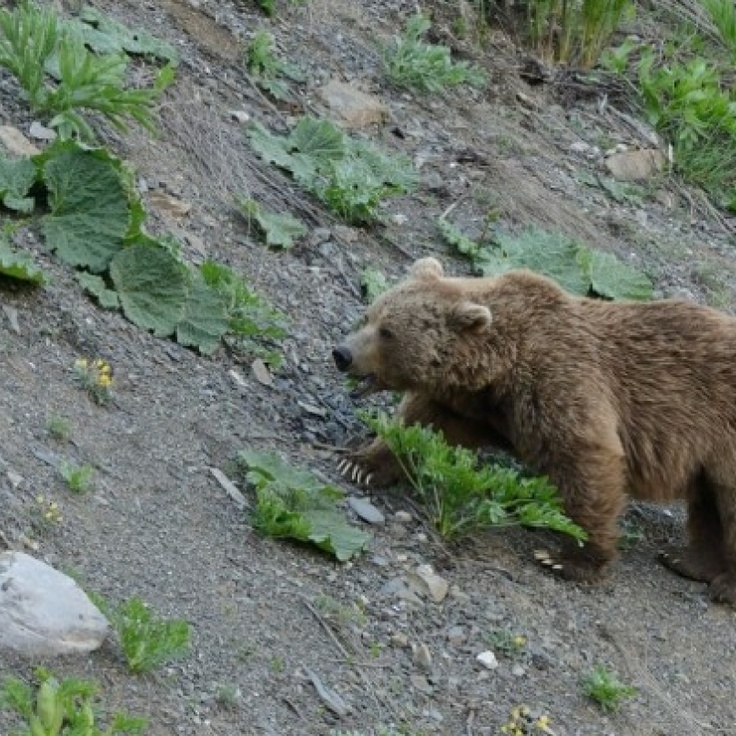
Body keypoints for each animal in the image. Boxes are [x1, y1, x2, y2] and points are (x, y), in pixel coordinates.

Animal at [334, 258, 736, 604]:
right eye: (370, 315)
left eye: (388, 332)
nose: (342, 353)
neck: (498, 369)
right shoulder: (475, 406)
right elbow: (419, 424)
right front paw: (360, 463)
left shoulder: (557, 381)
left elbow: (587, 462)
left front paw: (567, 558)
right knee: (708, 505)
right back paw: (688, 560)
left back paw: (723, 586)